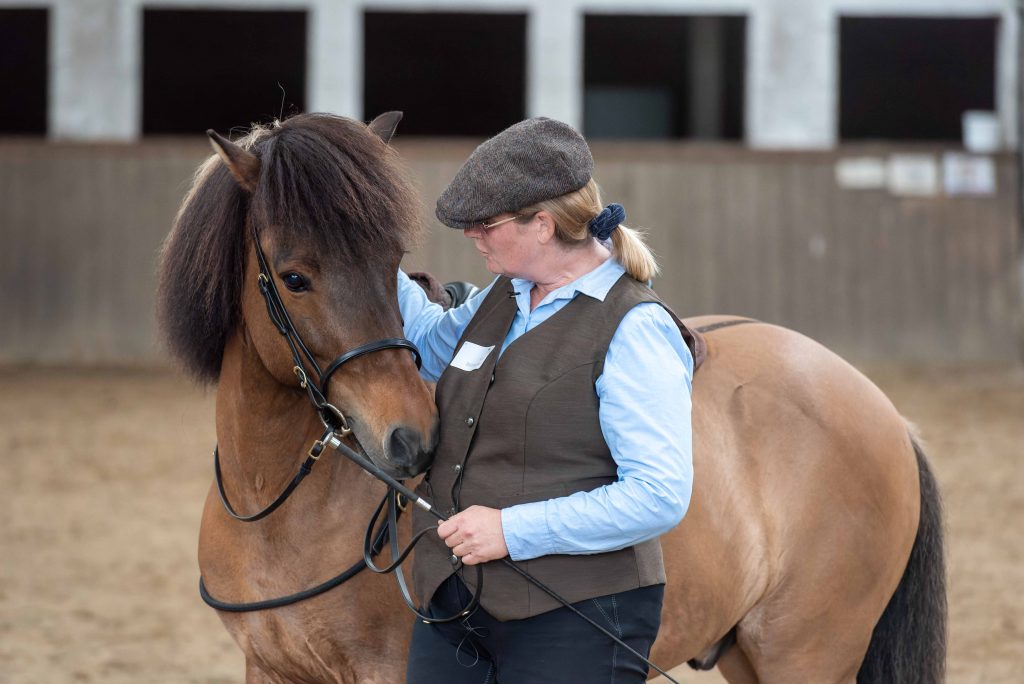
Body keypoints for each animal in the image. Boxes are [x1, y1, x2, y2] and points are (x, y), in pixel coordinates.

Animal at [155, 113, 946, 684]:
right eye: (294, 278)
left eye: (389, 261)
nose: (412, 440)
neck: (280, 514)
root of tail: (884, 412)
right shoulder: (272, 671)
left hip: (806, 653)